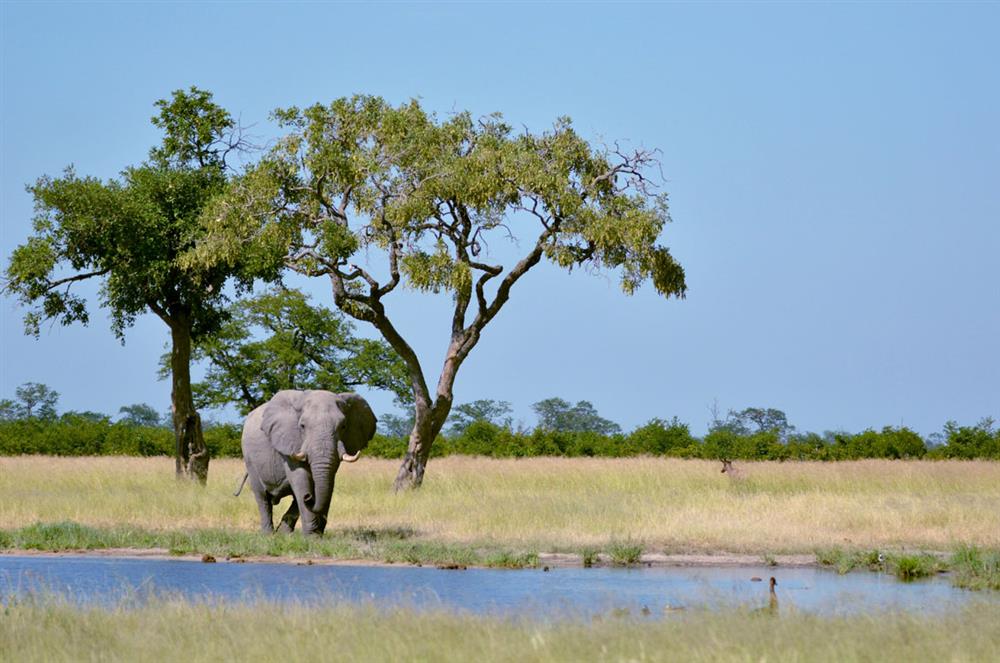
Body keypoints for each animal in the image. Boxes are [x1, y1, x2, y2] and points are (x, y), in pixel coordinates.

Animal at [236, 392, 376, 536]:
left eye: (343, 426)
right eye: (302, 426)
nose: (309, 497)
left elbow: (328, 482)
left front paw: (316, 535)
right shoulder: (290, 441)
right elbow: (301, 479)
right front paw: (311, 536)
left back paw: (283, 534)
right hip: (249, 459)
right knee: (262, 498)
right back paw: (268, 535)